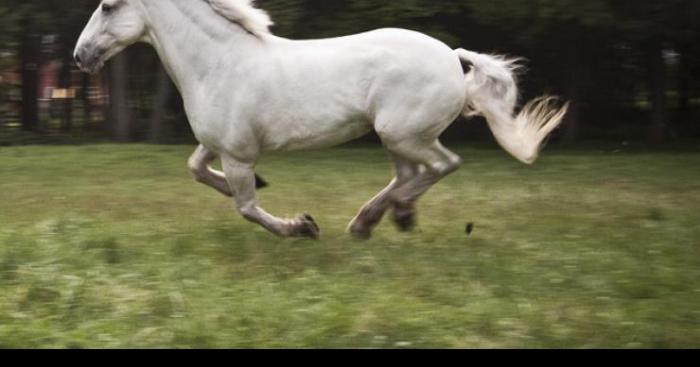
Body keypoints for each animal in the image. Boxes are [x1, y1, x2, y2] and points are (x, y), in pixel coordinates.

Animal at [75, 0, 568, 240]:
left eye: (107, 5)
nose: (81, 56)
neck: (218, 61)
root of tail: (452, 54)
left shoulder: (237, 153)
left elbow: (247, 207)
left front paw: (302, 227)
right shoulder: (219, 144)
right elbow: (196, 169)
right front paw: (269, 191)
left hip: (405, 134)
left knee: (442, 166)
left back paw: (393, 214)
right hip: (397, 138)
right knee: (411, 174)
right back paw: (372, 222)